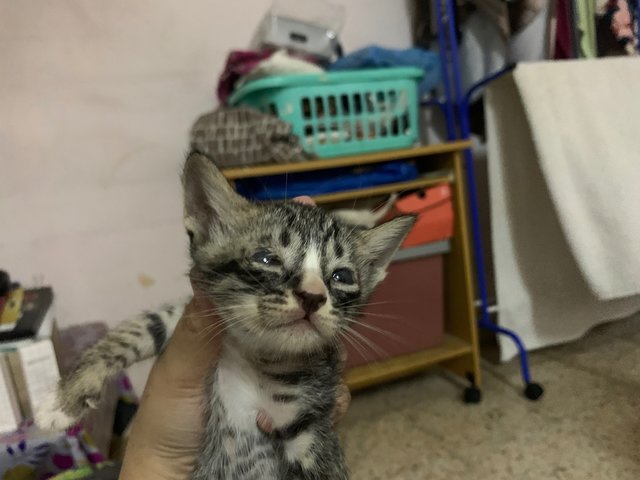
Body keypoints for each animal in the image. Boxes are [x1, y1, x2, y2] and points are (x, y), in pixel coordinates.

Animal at [35, 153, 416, 480]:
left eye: (342, 276)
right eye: (266, 259)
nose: (312, 296)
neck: (254, 353)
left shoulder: (309, 422)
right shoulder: (189, 318)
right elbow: (138, 330)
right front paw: (64, 399)